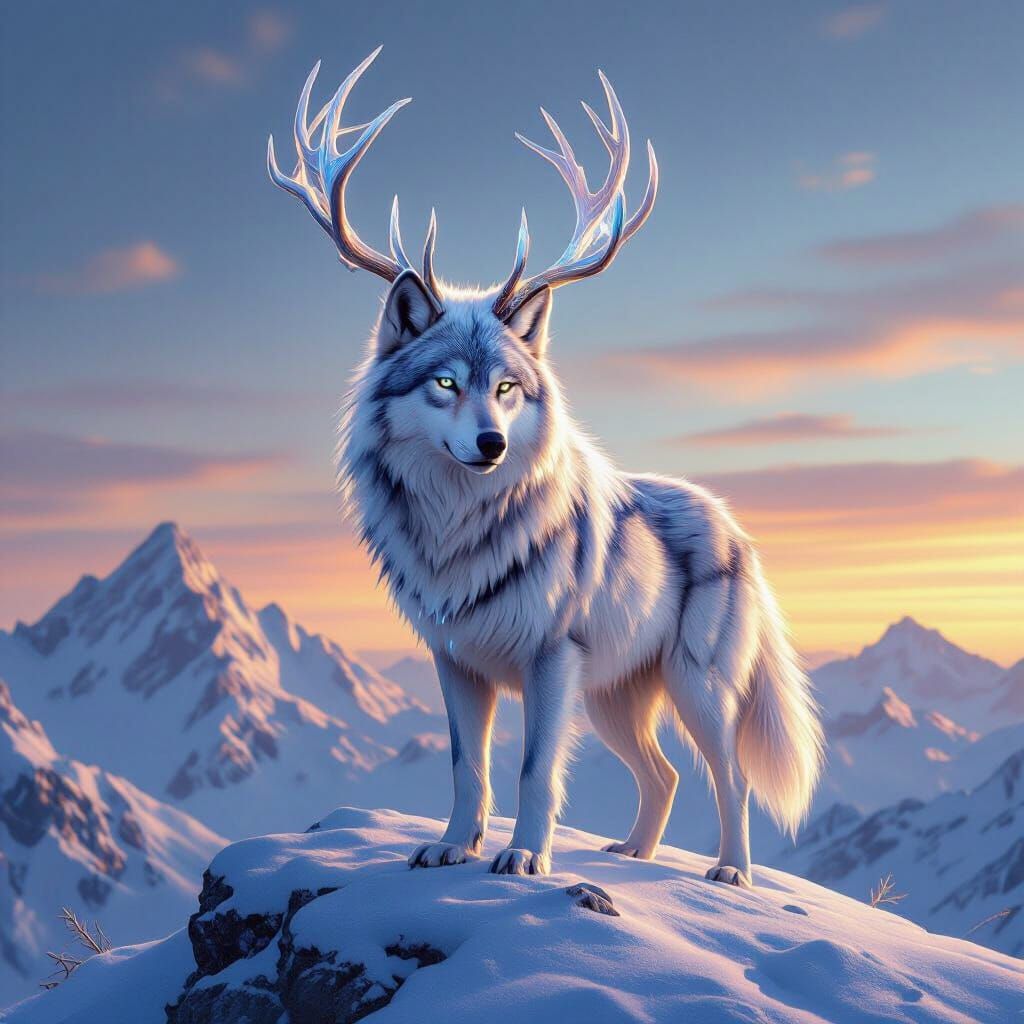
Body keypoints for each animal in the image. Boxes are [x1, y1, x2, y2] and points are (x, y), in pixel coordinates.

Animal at [269, 49, 823, 885]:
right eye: (445, 383)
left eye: (507, 387)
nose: (492, 445)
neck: (457, 529)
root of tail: (731, 523)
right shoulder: (456, 663)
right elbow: (469, 767)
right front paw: (451, 848)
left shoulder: (550, 661)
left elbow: (534, 770)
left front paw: (525, 857)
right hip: (614, 701)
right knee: (663, 774)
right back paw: (632, 854)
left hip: (693, 687)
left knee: (729, 776)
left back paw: (731, 873)